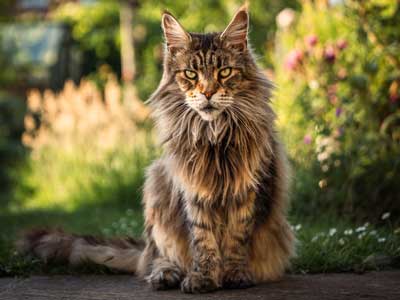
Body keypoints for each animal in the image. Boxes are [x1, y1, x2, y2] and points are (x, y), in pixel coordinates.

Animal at [17, 5, 294, 294]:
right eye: (191, 74)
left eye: (225, 72)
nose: (207, 93)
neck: (213, 134)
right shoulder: (193, 192)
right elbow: (203, 240)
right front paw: (203, 277)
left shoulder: (250, 190)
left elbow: (236, 239)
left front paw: (234, 275)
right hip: (157, 184)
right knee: (159, 257)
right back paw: (165, 275)